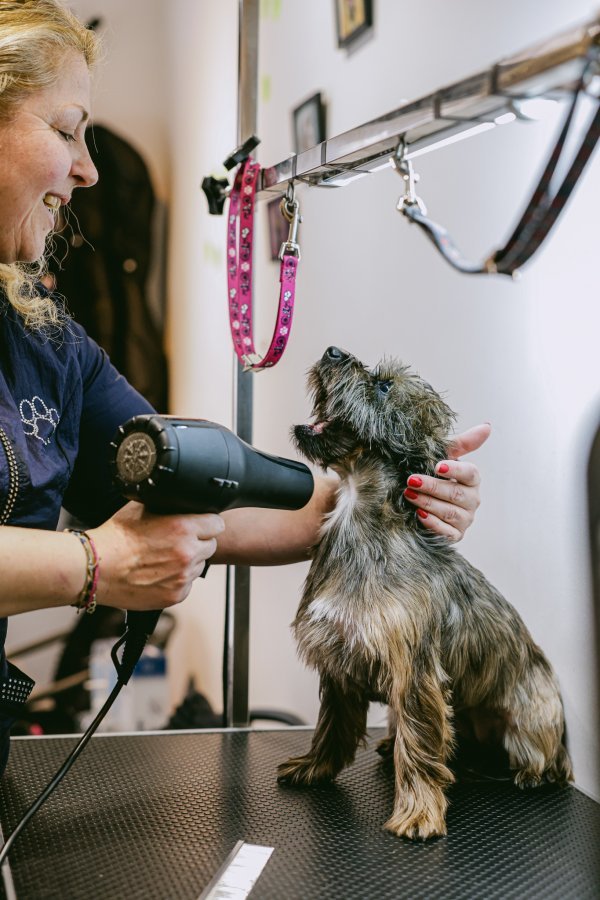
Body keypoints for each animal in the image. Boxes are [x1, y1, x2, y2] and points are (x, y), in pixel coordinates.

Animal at [278, 346, 576, 844]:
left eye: (383, 386)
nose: (332, 351)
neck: (359, 518)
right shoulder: (339, 660)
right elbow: (332, 726)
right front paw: (314, 766)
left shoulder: (414, 674)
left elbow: (418, 744)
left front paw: (418, 813)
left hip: (534, 713)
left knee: (546, 761)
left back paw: (532, 772)